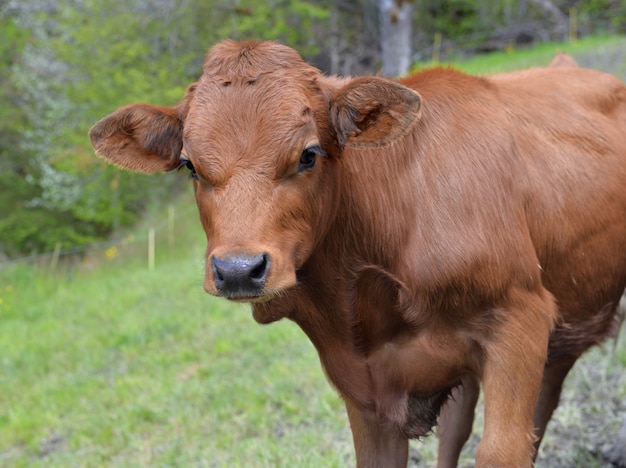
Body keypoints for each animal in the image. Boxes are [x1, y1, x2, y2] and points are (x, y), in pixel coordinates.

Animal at [89, 42, 624, 466]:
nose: (238, 270)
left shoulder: (521, 317)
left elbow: (503, 450)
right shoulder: (365, 386)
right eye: (189, 165)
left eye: (309, 154)